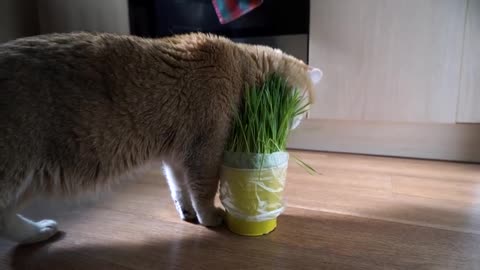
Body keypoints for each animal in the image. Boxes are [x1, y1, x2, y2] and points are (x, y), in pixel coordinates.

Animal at [0, 32, 322, 245]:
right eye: (302, 108)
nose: (298, 123)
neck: (241, 69)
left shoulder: (176, 157)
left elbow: (179, 187)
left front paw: (187, 212)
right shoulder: (205, 151)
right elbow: (203, 189)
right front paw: (209, 217)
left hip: (32, 178)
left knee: (6, 220)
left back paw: (38, 232)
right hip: (16, 169)